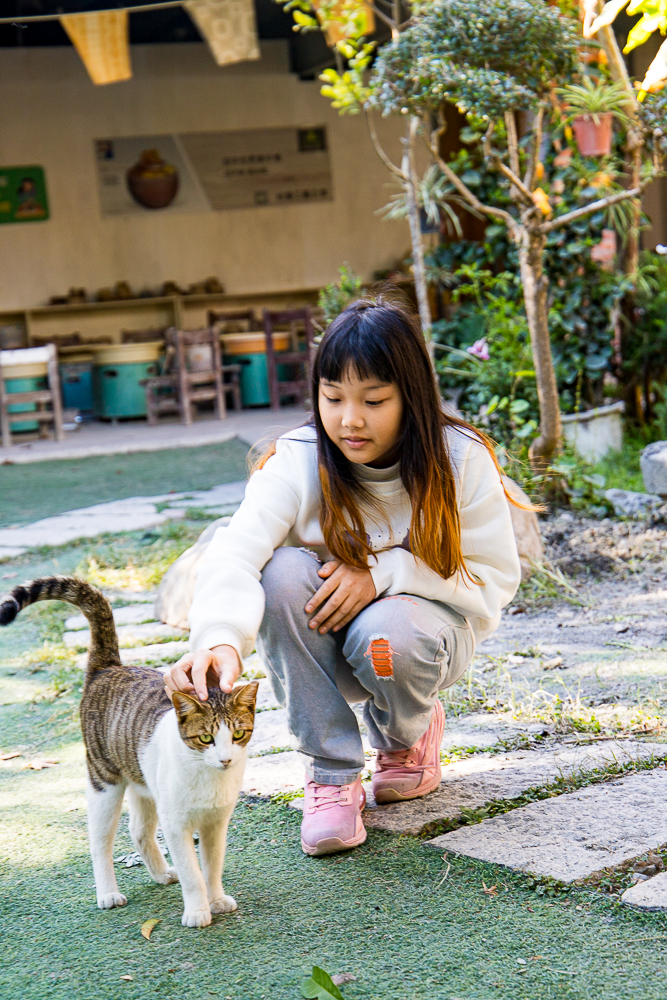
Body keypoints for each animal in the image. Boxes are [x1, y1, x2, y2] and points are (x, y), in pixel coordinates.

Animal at [0, 580, 258, 928]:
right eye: (206, 737)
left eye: (238, 735)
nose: (226, 759)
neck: (209, 779)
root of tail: (108, 668)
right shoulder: (176, 824)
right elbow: (193, 874)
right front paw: (197, 910)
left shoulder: (216, 823)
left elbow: (212, 866)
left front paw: (215, 899)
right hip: (104, 782)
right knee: (99, 842)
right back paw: (108, 893)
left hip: (143, 781)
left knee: (138, 831)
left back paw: (161, 874)